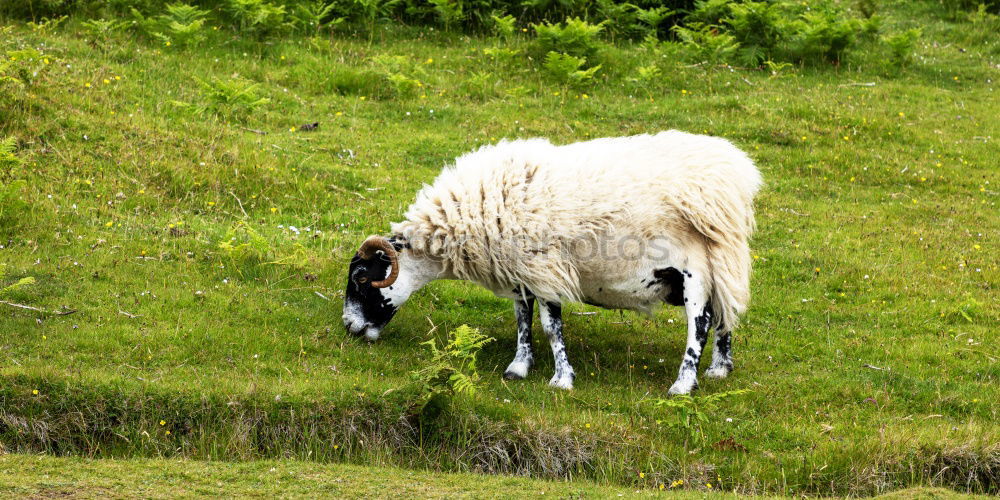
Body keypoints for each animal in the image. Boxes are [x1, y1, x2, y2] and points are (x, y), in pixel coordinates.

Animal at [344, 131, 764, 396]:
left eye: (362, 278)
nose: (348, 327)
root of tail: (735, 176)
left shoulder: (544, 268)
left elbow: (550, 326)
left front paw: (561, 379)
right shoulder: (519, 270)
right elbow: (522, 319)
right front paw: (518, 367)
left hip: (696, 266)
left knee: (700, 323)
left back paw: (683, 384)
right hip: (721, 262)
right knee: (724, 313)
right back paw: (719, 369)